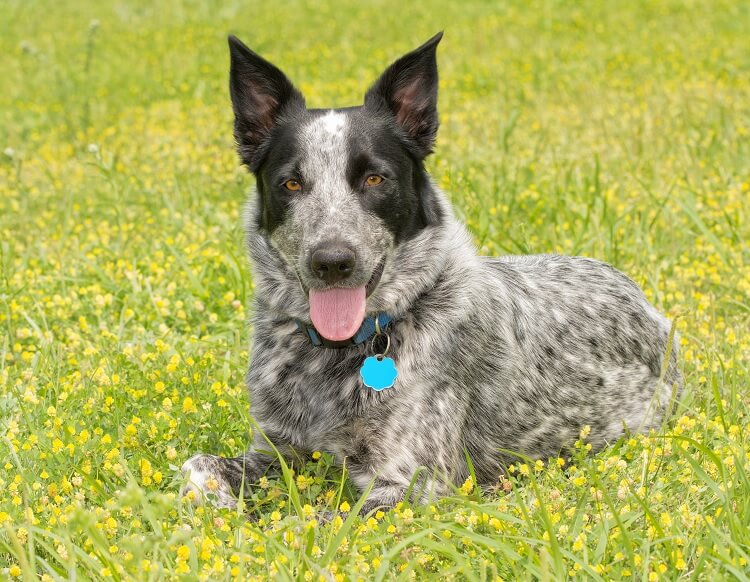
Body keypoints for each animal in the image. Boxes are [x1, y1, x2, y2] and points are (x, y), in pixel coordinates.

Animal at [181, 33, 680, 516]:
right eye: (291, 183)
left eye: (375, 179)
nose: (332, 262)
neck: (345, 349)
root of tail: (644, 301)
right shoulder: (274, 451)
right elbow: (197, 466)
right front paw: (220, 508)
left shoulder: (410, 484)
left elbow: (319, 521)